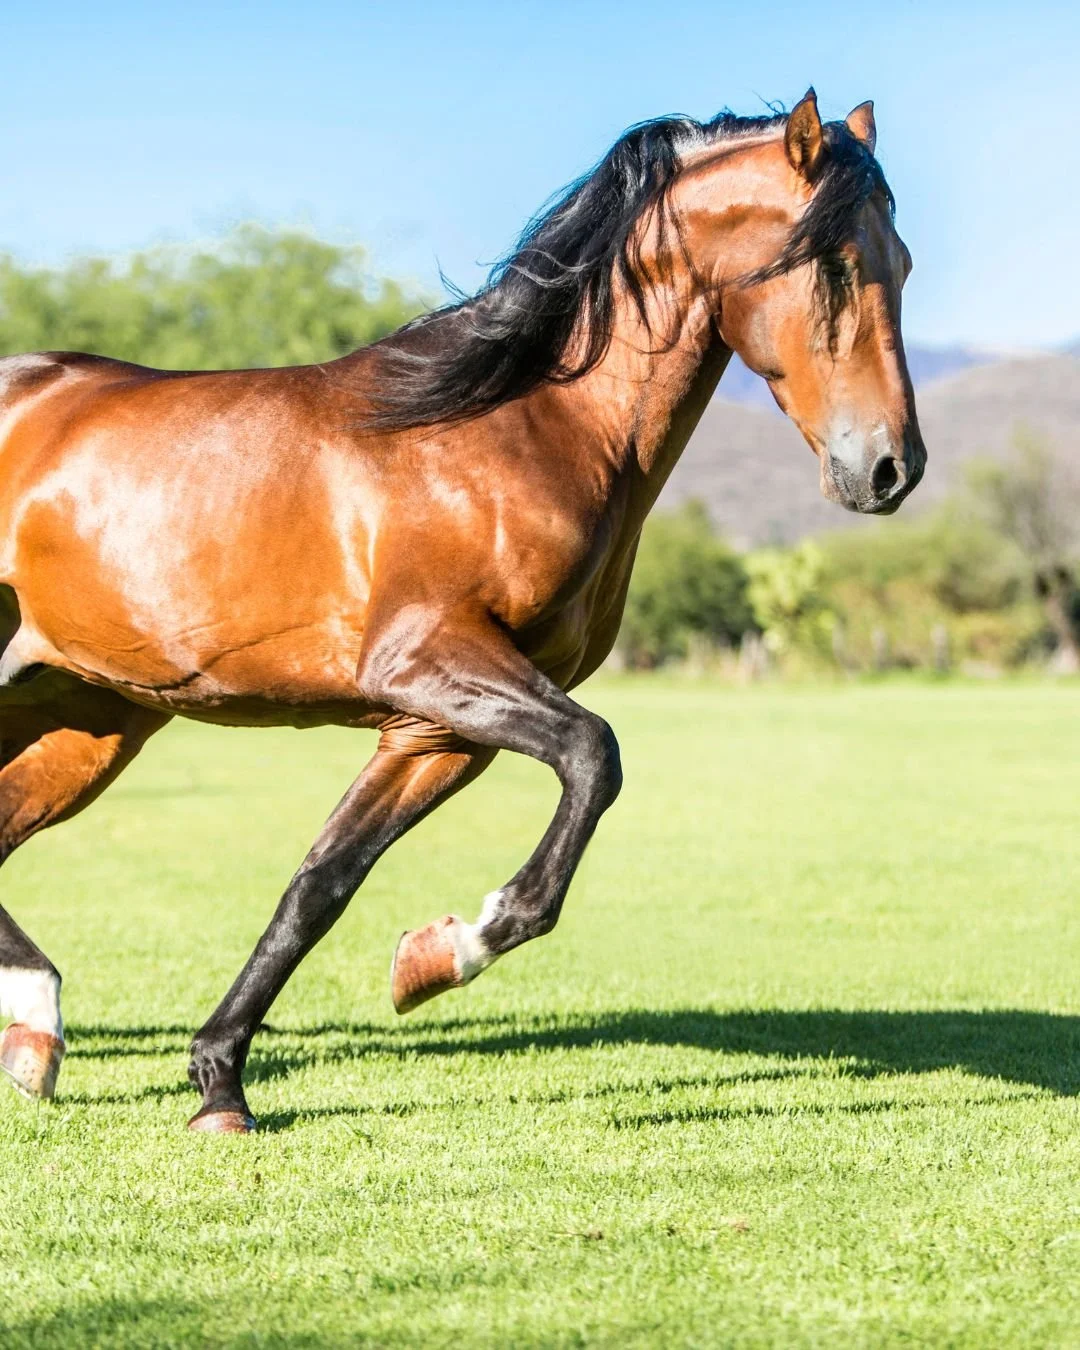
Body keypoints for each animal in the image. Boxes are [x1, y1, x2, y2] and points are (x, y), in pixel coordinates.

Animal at [0, 91, 925, 1132]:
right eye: (834, 262)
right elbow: (594, 758)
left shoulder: (432, 732)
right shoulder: (430, 663)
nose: (890, 468)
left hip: (85, 717)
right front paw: (449, 949)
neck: (517, 426)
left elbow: (320, 884)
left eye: (903, 262)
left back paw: (34, 1032)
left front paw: (227, 1079)